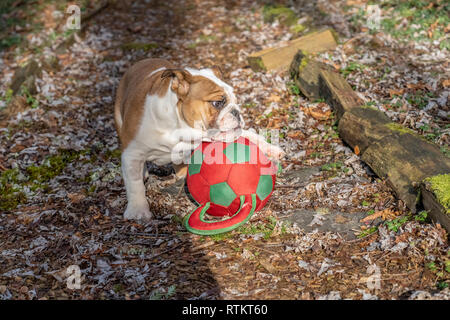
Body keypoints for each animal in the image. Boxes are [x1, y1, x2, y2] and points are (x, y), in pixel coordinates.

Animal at [115, 58, 284, 220]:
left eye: (236, 101)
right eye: (217, 103)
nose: (236, 112)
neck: (180, 129)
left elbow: (249, 135)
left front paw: (269, 148)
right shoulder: (132, 153)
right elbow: (134, 183)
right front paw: (138, 210)